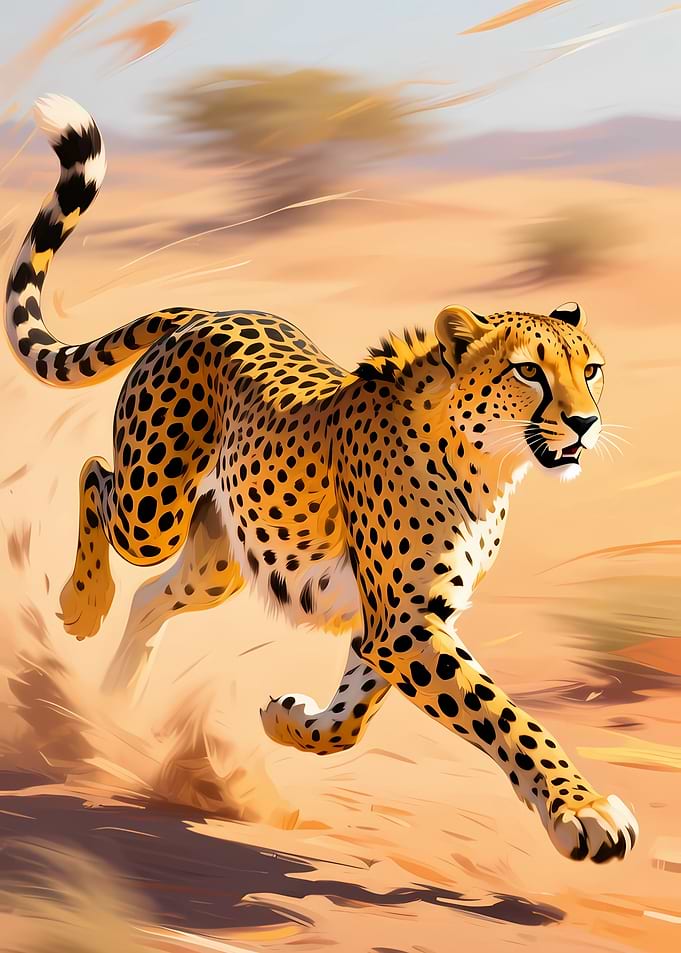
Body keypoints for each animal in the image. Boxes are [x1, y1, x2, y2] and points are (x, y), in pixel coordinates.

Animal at [4, 95, 638, 863]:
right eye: (527, 371)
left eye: (591, 368)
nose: (583, 423)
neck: (489, 465)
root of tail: (210, 310)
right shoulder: (407, 622)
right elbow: (506, 718)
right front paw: (583, 810)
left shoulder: (392, 623)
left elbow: (350, 719)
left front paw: (287, 720)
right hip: (152, 511)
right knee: (97, 477)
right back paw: (83, 604)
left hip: (223, 554)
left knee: (155, 593)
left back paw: (114, 708)